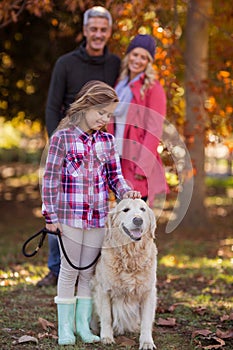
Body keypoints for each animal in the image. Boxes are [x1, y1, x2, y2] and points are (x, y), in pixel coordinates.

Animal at [92, 198, 157, 348]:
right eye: (125, 210)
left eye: (143, 209)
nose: (138, 220)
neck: (130, 256)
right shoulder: (104, 290)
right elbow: (107, 317)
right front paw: (106, 337)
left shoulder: (148, 292)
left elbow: (146, 321)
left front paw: (146, 341)